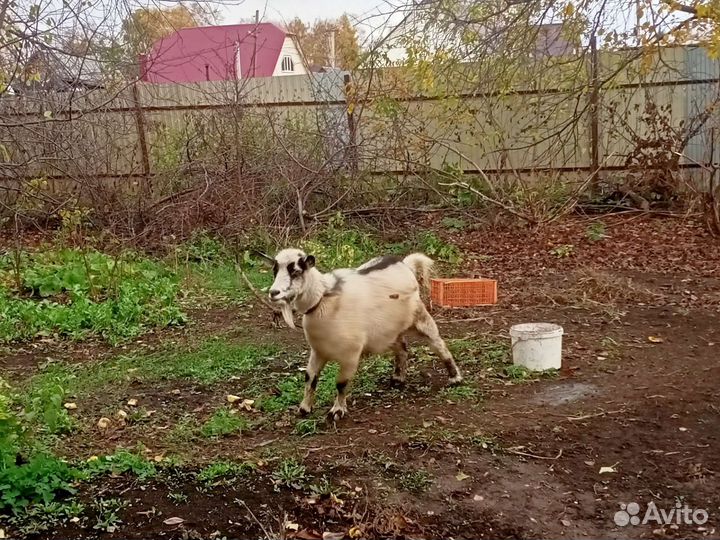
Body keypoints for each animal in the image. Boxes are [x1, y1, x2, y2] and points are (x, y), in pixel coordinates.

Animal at [268, 248, 463, 421]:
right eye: (275, 270)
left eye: (296, 271)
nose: (273, 293)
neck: (323, 299)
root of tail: (406, 264)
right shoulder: (318, 351)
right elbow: (310, 378)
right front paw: (304, 408)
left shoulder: (350, 354)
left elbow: (341, 383)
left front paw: (337, 411)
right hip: (388, 331)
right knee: (402, 348)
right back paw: (397, 379)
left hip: (419, 317)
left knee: (437, 343)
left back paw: (455, 378)